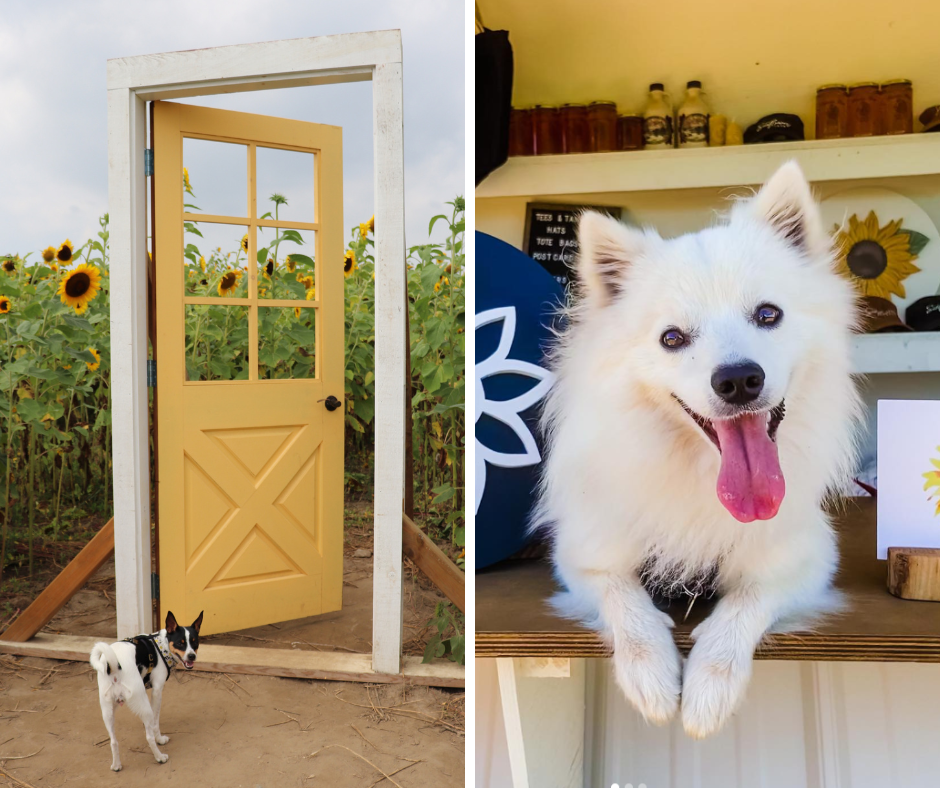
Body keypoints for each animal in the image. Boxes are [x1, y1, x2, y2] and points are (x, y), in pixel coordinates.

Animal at [89, 608, 202, 768]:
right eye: (180, 644)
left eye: (195, 643)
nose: (192, 656)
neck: (161, 646)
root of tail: (115, 664)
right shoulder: (157, 692)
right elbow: (155, 722)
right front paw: (160, 738)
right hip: (141, 704)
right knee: (148, 737)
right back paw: (160, 757)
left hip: (108, 711)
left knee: (113, 741)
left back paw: (117, 765)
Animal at [532, 162, 864, 740]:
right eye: (672, 338)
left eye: (768, 314)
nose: (738, 380)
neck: (700, 479)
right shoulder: (585, 557)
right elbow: (627, 605)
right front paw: (652, 678)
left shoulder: (806, 561)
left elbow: (745, 604)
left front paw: (710, 688)